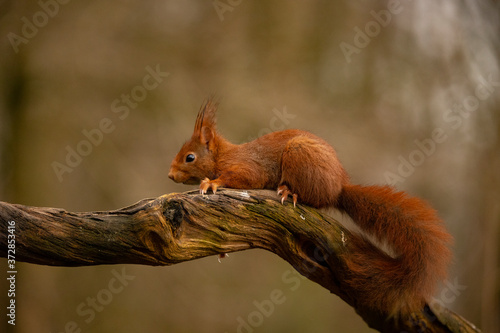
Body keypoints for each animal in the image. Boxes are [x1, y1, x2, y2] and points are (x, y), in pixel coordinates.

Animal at [168, 97, 454, 316]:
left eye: (190, 157)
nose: (170, 175)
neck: (223, 156)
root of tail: (339, 188)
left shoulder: (249, 169)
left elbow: (240, 178)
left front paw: (211, 182)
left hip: (300, 155)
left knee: (313, 199)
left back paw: (288, 191)